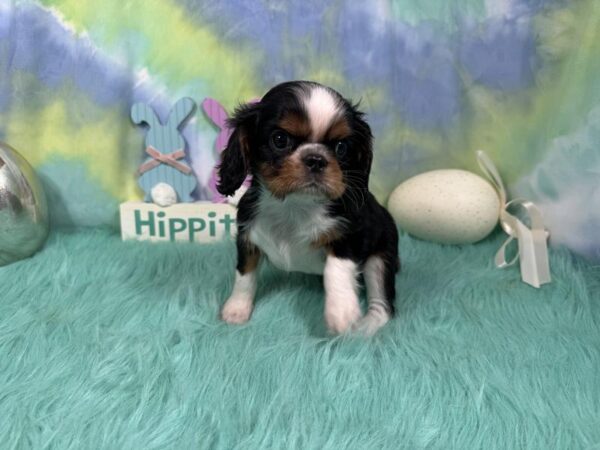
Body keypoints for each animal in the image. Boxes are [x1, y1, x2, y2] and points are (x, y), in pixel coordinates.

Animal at [217, 81, 400, 335]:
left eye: (341, 147)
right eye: (280, 139)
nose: (316, 159)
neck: (295, 205)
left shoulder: (353, 233)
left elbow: (336, 267)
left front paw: (342, 310)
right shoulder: (247, 237)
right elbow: (244, 274)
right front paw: (236, 308)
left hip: (381, 257)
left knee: (383, 304)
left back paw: (365, 327)